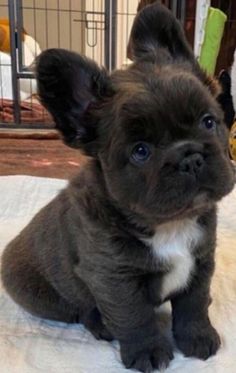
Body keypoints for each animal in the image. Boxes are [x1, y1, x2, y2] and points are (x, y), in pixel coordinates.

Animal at [0, 2, 235, 372]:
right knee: (81, 310)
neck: (169, 224)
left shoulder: (201, 261)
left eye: (209, 122)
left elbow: (194, 305)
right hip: (44, 294)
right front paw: (148, 350)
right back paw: (101, 326)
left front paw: (197, 337)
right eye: (140, 151)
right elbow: (134, 317)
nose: (190, 156)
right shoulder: (114, 279)